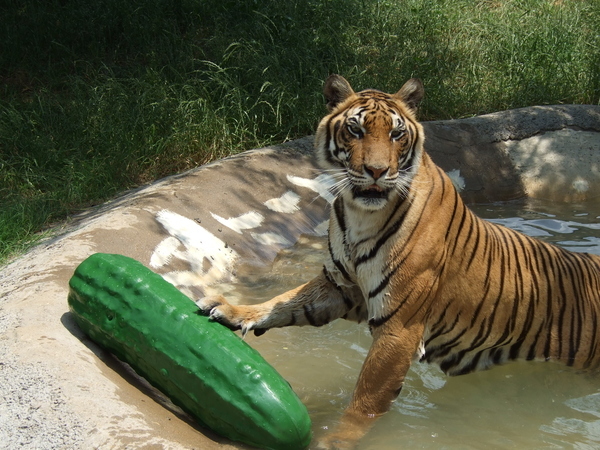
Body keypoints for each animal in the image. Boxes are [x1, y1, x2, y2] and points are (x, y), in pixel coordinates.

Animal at [198, 75, 600, 448]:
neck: (360, 215)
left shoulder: (399, 327)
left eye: (396, 134)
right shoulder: (338, 286)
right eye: (355, 129)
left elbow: (366, 400)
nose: (376, 171)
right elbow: (285, 302)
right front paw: (235, 311)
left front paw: (335, 440)